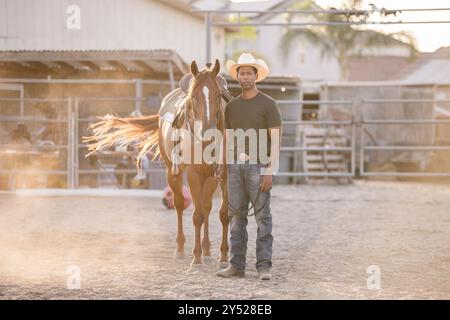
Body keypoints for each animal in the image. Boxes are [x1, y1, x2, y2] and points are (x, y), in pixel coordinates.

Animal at [83, 60, 232, 272]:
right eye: (193, 97)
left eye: (218, 95)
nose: (207, 132)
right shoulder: (194, 174)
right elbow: (197, 215)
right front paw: (196, 260)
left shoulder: (220, 174)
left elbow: (219, 213)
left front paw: (221, 257)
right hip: (172, 172)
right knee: (179, 204)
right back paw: (180, 249)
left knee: (206, 207)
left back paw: (207, 251)